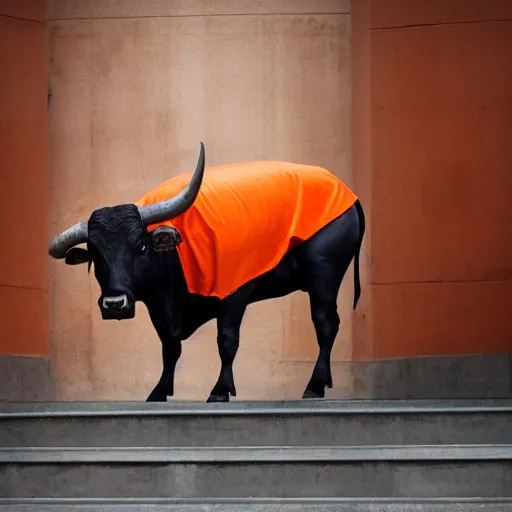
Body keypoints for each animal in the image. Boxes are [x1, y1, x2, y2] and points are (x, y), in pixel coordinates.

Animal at [50, 145, 364, 404]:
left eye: (140, 246)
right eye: (95, 255)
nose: (115, 304)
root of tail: (347, 192)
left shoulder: (234, 293)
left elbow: (227, 341)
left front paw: (220, 390)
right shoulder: (160, 309)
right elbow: (169, 347)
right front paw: (159, 391)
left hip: (324, 275)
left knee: (325, 323)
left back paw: (315, 385)